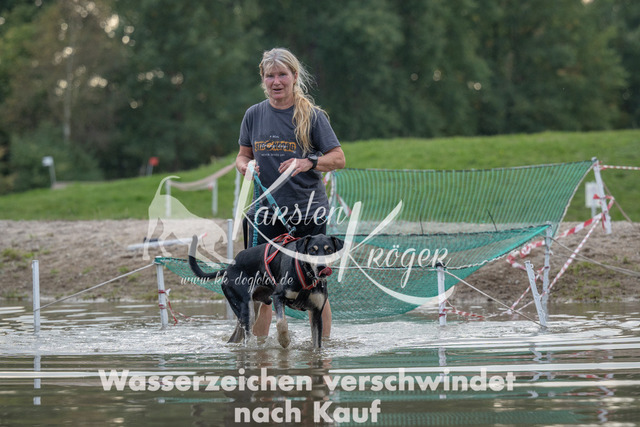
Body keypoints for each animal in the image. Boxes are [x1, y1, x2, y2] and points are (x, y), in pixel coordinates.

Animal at [188, 233, 343, 348]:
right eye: (312, 250)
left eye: (329, 250)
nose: (321, 267)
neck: (307, 275)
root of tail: (229, 268)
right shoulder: (278, 297)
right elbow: (281, 322)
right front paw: (284, 340)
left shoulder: (317, 312)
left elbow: (317, 344)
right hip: (247, 312)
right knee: (247, 338)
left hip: (251, 310)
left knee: (236, 337)